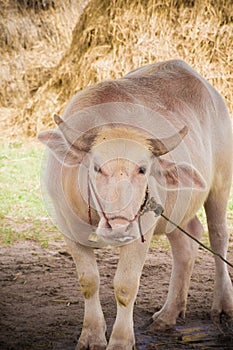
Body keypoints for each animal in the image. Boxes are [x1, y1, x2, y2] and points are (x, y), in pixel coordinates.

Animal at [38, 58, 233, 348]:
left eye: (142, 169)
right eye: (96, 167)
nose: (120, 227)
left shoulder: (143, 226)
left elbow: (126, 286)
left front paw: (120, 340)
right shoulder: (66, 227)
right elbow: (89, 281)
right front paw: (92, 335)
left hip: (220, 184)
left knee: (218, 237)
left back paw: (222, 304)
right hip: (175, 208)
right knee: (187, 243)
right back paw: (168, 314)